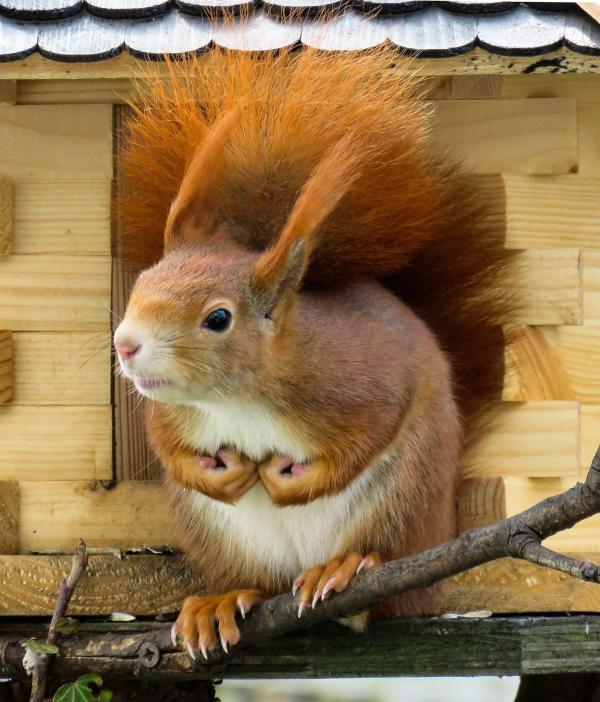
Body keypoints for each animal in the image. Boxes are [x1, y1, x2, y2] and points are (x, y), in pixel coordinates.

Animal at [114, 46, 513, 659]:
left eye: (218, 319)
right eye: (140, 284)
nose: (126, 344)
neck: (236, 400)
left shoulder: (363, 382)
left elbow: (367, 434)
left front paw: (289, 481)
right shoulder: (171, 413)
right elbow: (167, 446)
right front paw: (219, 476)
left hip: (402, 505)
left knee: (383, 577)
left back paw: (342, 569)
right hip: (222, 540)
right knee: (257, 583)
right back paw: (219, 602)